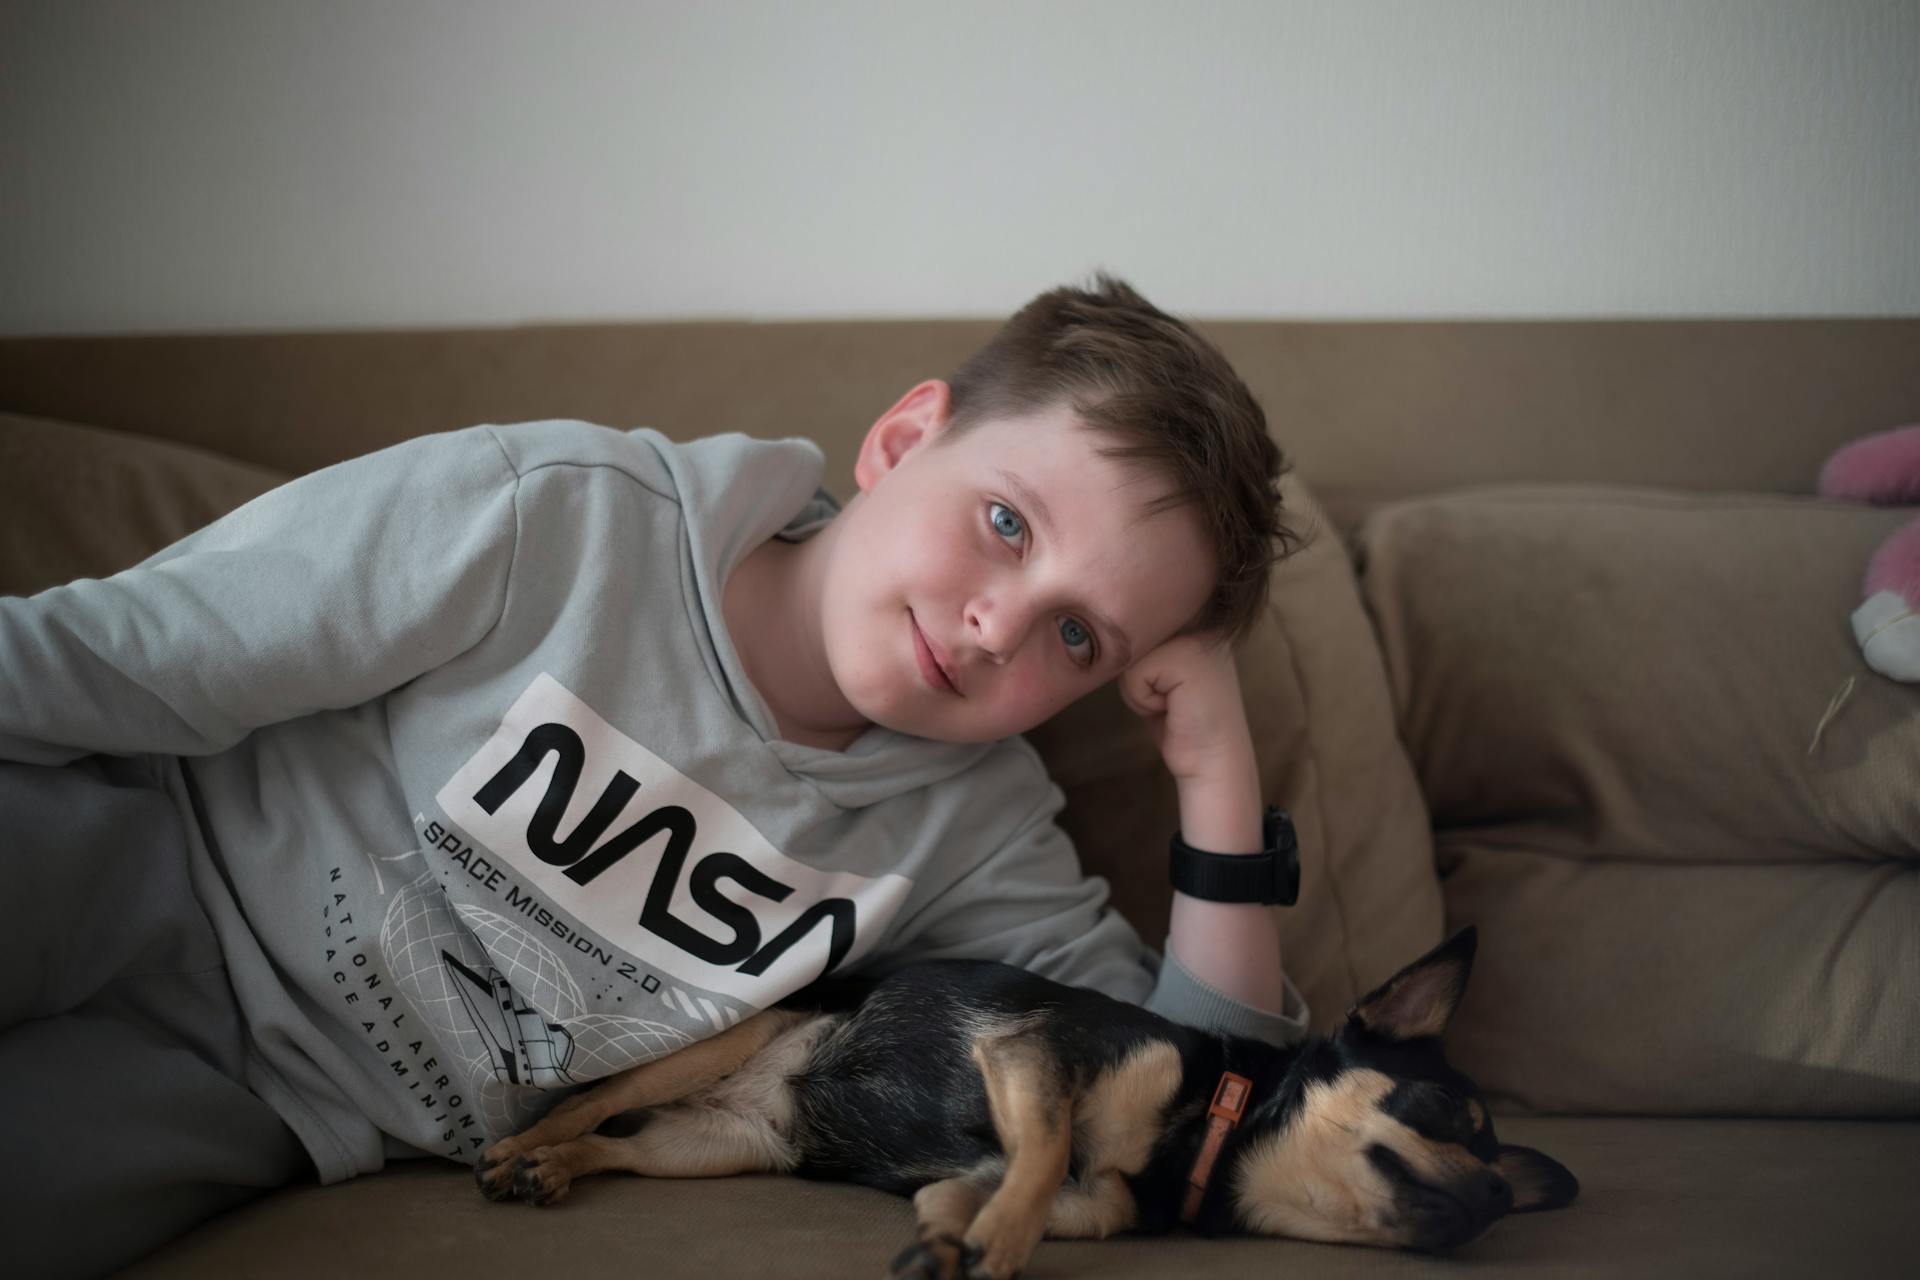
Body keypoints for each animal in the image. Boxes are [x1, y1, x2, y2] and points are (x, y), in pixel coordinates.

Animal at [476, 932, 1574, 1274]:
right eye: (1442, 1112)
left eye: (1500, 1187)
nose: (1497, 1195)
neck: (1202, 1133)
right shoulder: (1033, 1057)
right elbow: (1045, 1155)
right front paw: (999, 1244)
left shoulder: (1059, 1168)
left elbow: (1015, 1184)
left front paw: (962, 1233)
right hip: (727, 1044)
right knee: (592, 1103)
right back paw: (522, 1148)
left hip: (717, 1145)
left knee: (624, 1145)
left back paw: (554, 1169)